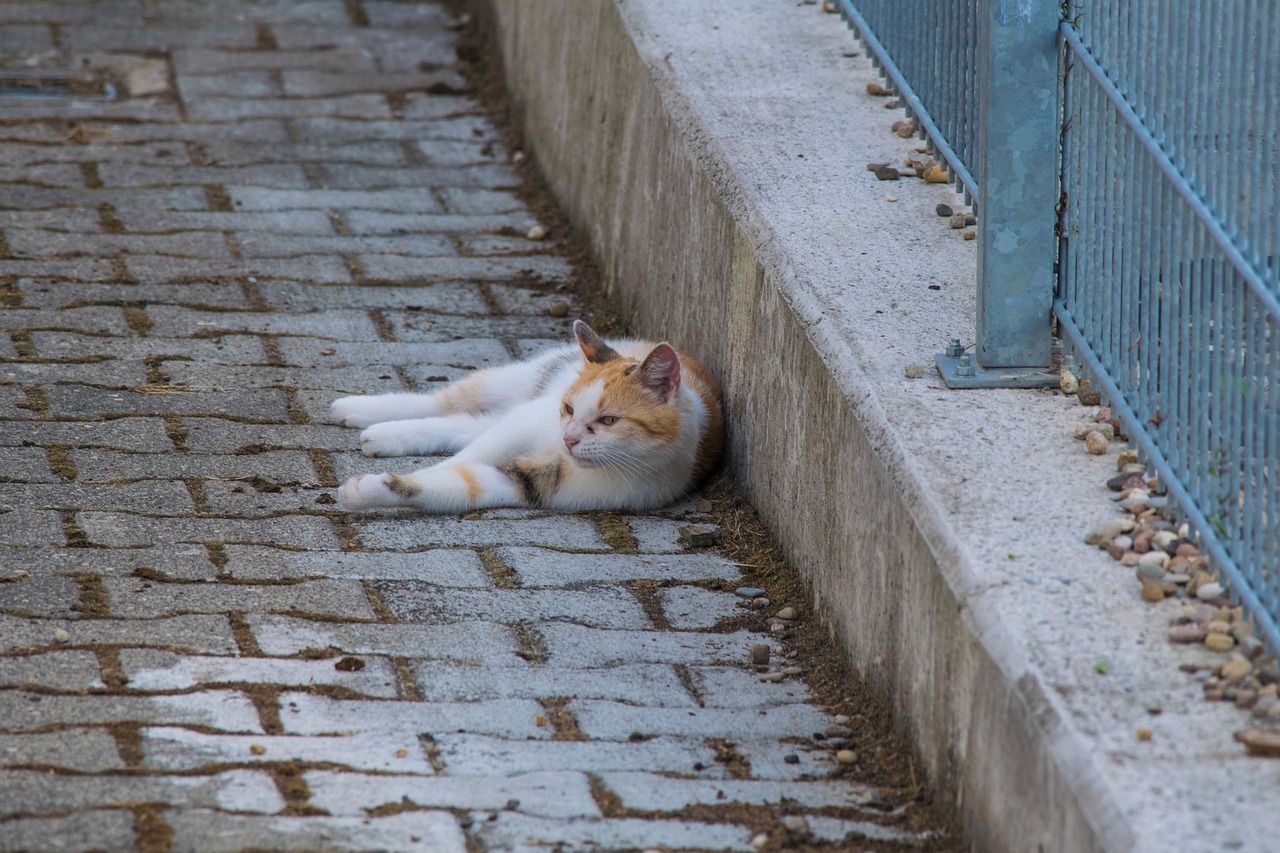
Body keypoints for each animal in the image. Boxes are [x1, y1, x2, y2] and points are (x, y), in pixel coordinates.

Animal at [330, 318, 727, 512]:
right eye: (568, 409)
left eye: (609, 421)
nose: (568, 439)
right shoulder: (531, 419)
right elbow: (468, 457)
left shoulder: (537, 486)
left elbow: (462, 484)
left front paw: (366, 491)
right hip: (521, 382)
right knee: (446, 403)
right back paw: (358, 409)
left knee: (465, 425)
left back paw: (384, 435)